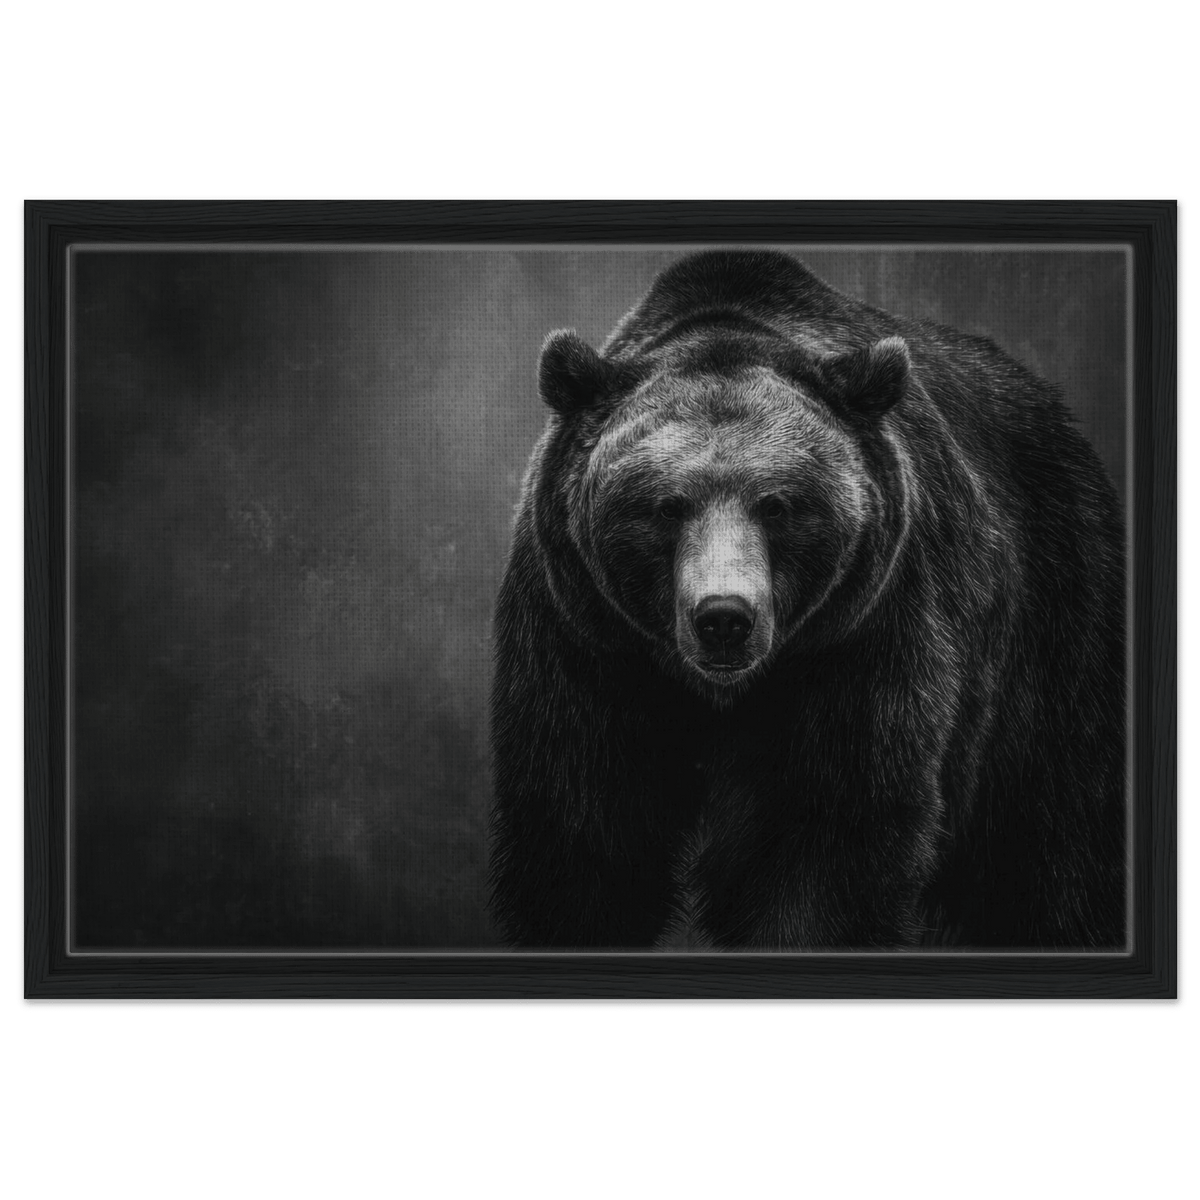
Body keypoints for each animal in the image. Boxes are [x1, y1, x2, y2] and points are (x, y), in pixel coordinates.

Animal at [489, 247, 1126, 951]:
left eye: (777, 505)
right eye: (665, 506)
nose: (724, 619)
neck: (722, 694)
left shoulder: (862, 637)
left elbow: (823, 842)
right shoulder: (585, 641)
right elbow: (584, 832)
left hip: (1052, 617)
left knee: (1050, 838)